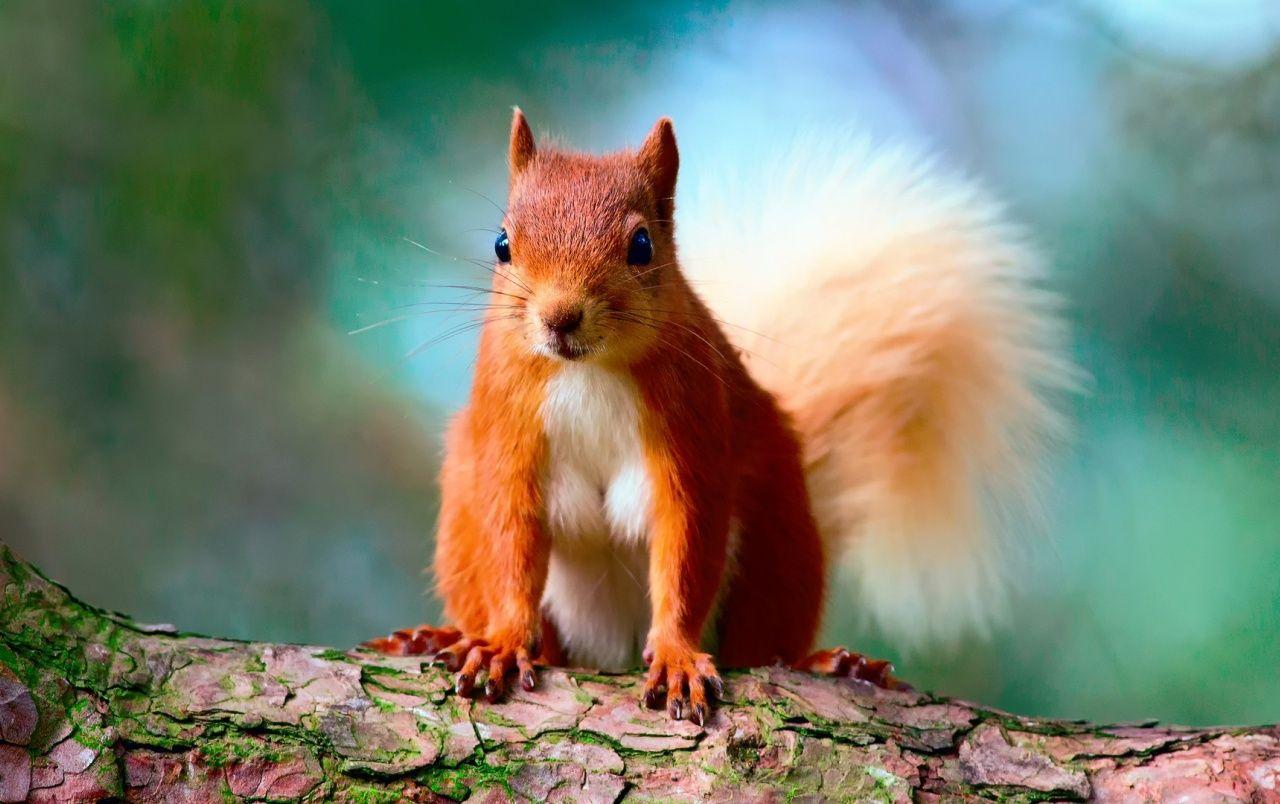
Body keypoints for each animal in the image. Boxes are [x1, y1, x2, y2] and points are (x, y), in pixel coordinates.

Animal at [365, 109, 1074, 725]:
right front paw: (505, 642)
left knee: (762, 644)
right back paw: (436, 635)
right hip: (462, 504)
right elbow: (512, 540)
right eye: (502, 243)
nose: (559, 317)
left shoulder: (693, 432)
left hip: (778, 534)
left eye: (642, 244)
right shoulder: (508, 430)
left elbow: (686, 545)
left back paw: (832, 664)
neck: (587, 369)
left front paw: (678, 655)